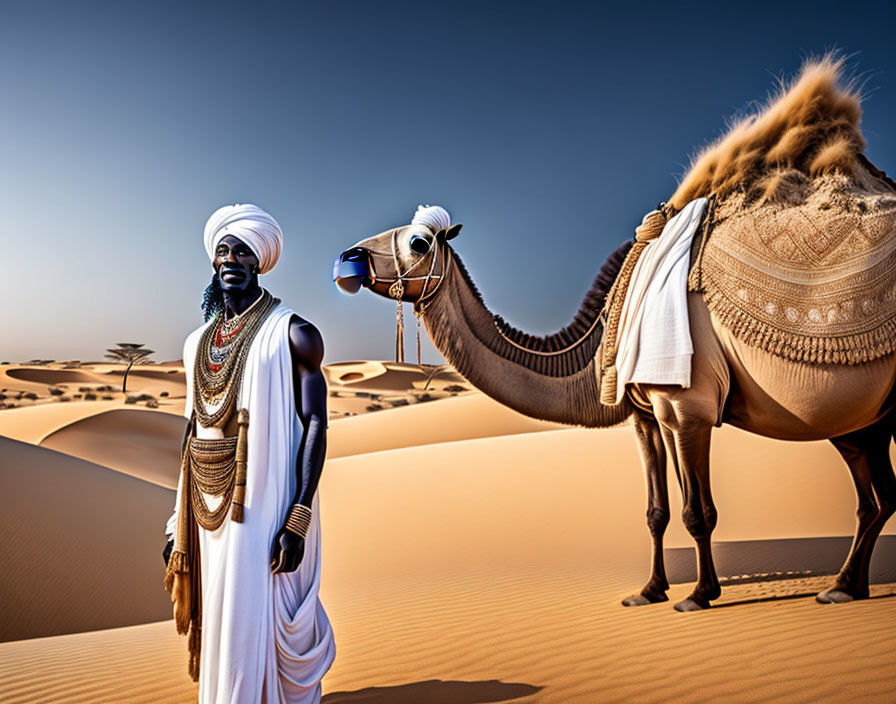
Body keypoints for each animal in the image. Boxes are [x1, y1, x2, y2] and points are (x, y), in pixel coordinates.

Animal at [332, 57, 892, 612]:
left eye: (419, 242)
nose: (346, 258)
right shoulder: (646, 414)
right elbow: (656, 511)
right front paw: (649, 591)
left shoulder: (687, 406)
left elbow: (698, 510)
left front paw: (699, 595)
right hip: (867, 418)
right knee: (877, 498)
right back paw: (844, 586)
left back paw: (842, 585)